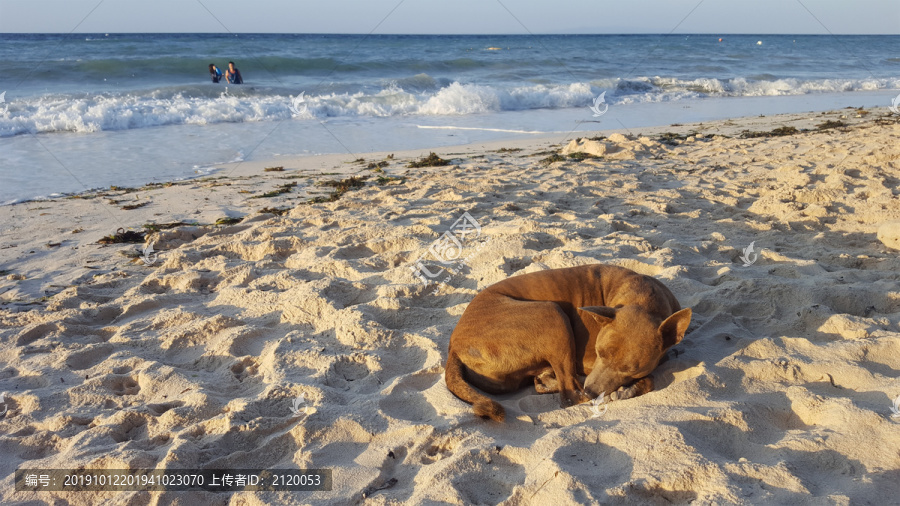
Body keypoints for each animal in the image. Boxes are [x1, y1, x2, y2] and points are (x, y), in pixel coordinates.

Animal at [446, 262, 692, 422]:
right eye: (599, 352)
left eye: (630, 369)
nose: (592, 391)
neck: (643, 297)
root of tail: (453, 348)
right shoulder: (585, 362)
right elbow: (650, 378)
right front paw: (628, 390)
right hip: (551, 313)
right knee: (569, 395)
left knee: (548, 384)